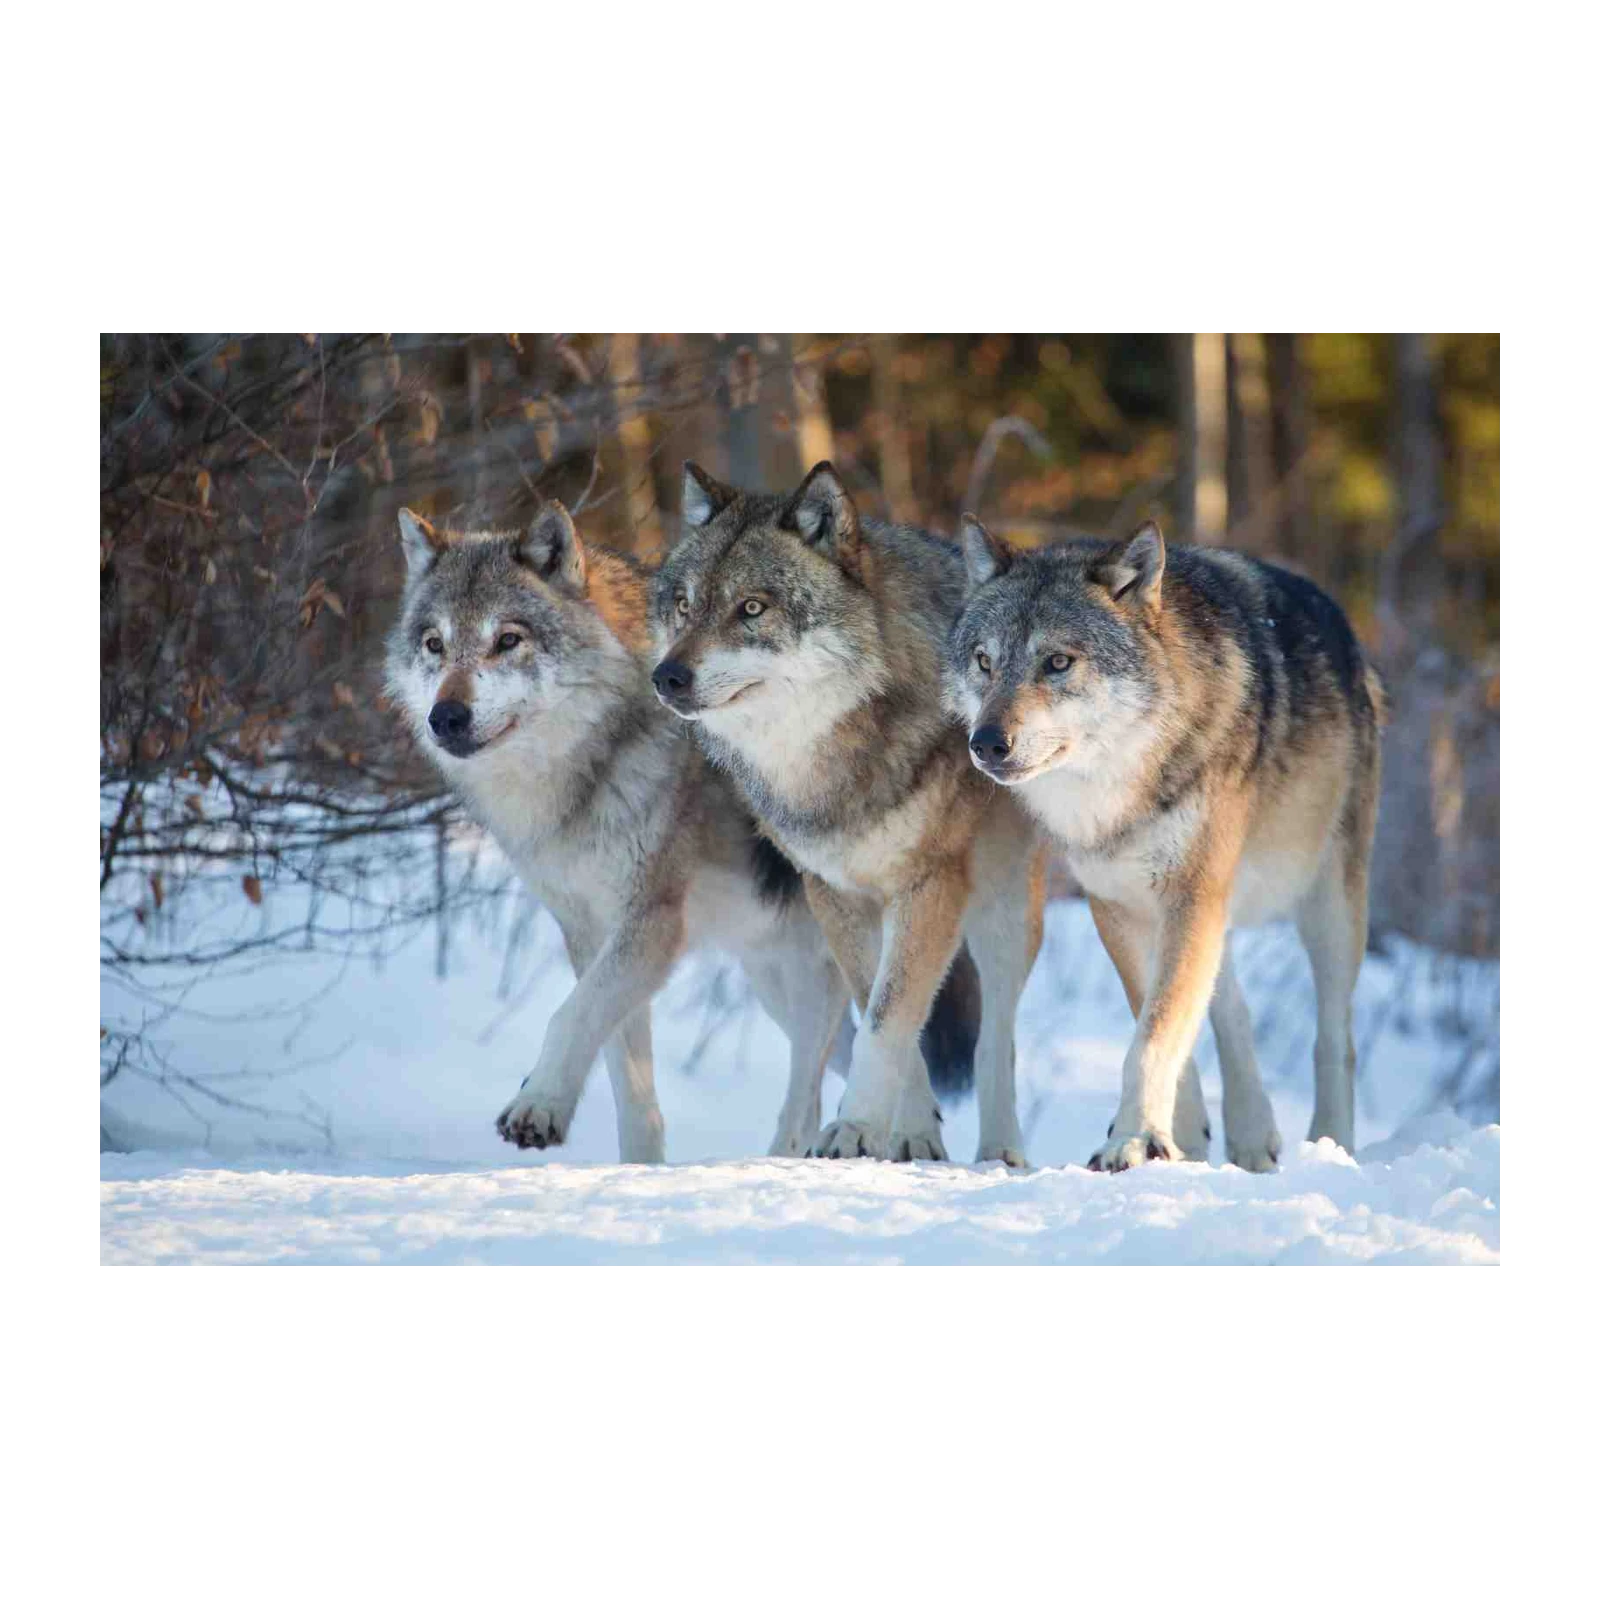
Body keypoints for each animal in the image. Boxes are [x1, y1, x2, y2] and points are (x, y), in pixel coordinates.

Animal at [385, 502, 979, 1163]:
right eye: (435, 645)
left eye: (507, 640)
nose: (445, 717)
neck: (591, 765)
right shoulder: (590, 933)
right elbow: (624, 1075)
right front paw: (637, 1167)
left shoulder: (653, 922)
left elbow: (568, 1017)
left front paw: (535, 1105)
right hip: (773, 970)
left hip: (815, 961)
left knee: (823, 1064)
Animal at [648, 460, 1111, 1169]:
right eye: (683, 605)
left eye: (751, 607)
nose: (665, 677)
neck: (834, 756)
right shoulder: (833, 892)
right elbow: (882, 1009)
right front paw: (904, 1133)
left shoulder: (931, 885)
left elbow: (892, 1015)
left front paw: (855, 1128)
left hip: (1002, 909)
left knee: (997, 1036)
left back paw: (1001, 1152)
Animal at [949, 515, 1387, 1171]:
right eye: (984, 661)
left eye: (1058, 662)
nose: (985, 743)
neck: (1119, 787)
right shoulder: (1119, 906)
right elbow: (1155, 1021)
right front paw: (1171, 1135)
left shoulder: (1189, 894)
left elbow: (1153, 1034)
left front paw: (1132, 1140)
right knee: (1230, 1005)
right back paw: (1250, 1133)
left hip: (1327, 908)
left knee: (1336, 1036)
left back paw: (1330, 1145)